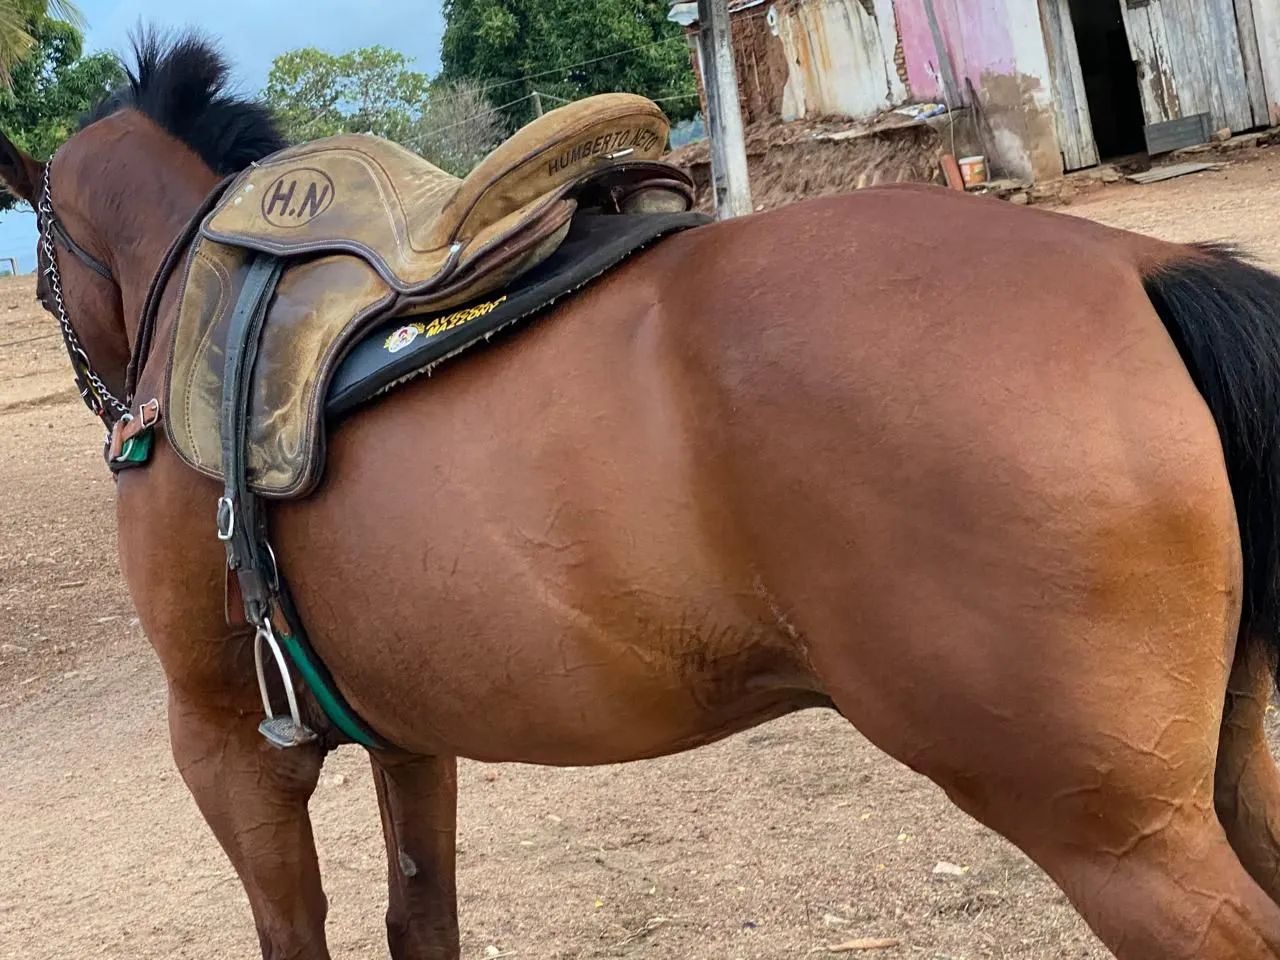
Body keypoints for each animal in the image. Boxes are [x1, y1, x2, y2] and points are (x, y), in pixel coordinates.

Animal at [12, 32, 1280, 960]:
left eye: (41, 272)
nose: (110, 413)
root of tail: (1143, 268)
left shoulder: (228, 747)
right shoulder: (408, 738)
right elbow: (420, 916)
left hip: (1115, 837)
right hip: (1220, 766)